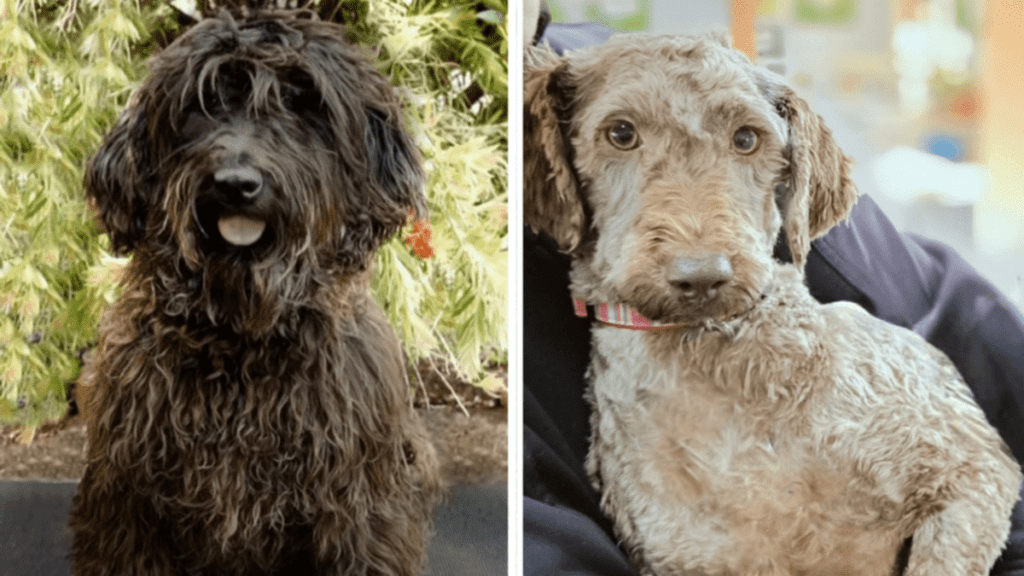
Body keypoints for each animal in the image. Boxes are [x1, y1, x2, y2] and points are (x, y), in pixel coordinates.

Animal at [69, 8, 444, 573]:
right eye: (204, 104)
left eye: (303, 101)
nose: (236, 184)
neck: (242, 339)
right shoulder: (126, 498)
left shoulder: (360, 501)